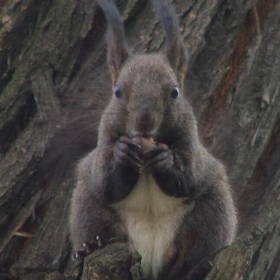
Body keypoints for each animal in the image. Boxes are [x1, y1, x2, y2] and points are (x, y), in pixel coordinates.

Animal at [69, 0, 237, 280]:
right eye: (117, 91)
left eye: (175, 92)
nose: (144, 119)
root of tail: (150, 260)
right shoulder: (102, 148)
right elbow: (106, 181)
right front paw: (122, 156)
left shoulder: (193, 149)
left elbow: (189, 178)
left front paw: (166, 160)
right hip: (88, 207)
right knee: (101, 225)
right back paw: (91, 247)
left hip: (213, 210)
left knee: (194, 250)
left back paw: (199, 265)